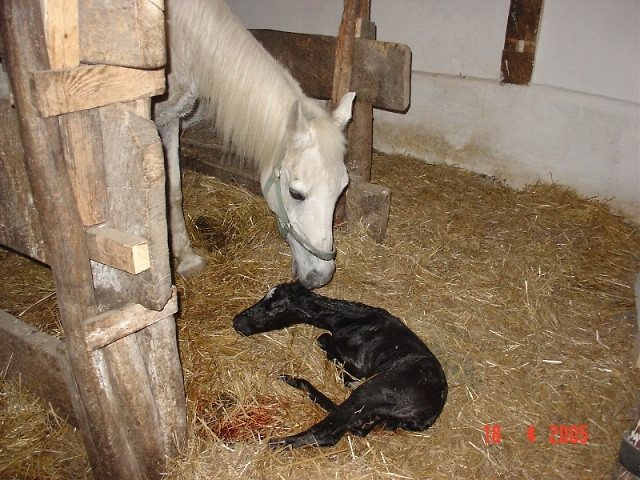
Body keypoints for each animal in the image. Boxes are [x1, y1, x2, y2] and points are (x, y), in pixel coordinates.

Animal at [155, 0, 356, 288]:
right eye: (296, 193)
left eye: (342, 189)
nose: (322, 276)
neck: (180, 38)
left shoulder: (170, 118)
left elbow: (172, 192)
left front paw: (187, 258)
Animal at [232, 284, 448, 448]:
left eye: (276, 309)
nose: (237, 322)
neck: (352, 319)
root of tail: (430, 412)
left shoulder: (361, 365)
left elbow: (323, 339)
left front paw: (346, 377)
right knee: (356, 425)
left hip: (374, 391)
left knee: (329, 432)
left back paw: (274, 442)